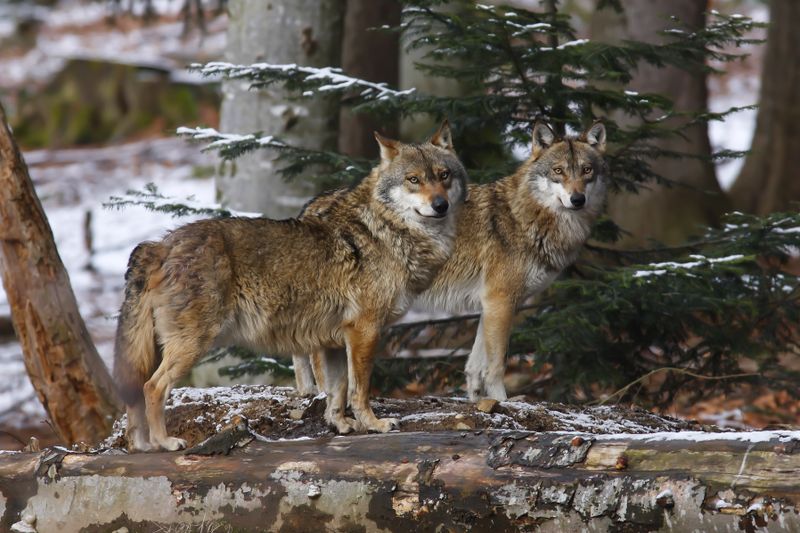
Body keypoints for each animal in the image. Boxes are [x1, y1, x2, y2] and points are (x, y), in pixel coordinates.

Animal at [109, 121, 466, 448]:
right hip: (192, 345)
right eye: (413, 180)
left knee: (135, 393)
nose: (441, 205)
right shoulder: (364, 331)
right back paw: (164, 443)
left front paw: (340, 425)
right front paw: (374, 424)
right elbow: (359, 389)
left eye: (444, 175)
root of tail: (160, 245)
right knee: (152, 387)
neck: (386, 231)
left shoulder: (334, 340)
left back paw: (141, 446)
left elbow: (336, 390)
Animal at [296, 120, 608, 404]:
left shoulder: (489, 305)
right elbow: (496, 364)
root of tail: (311, 205)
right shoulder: (501, 300)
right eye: (558, 171)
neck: (525, 217)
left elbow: (475, 366)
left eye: (587, 170)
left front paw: (476, 399)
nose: (577, 199)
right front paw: (502, 401)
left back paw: (306, 393)